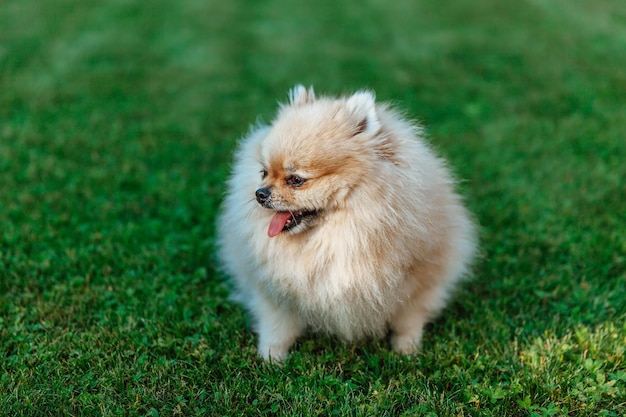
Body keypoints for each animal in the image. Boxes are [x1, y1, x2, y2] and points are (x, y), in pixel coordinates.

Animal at [217, 85, 476, 360]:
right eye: (263, 172)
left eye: (296, 180)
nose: (260, 193)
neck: (337, 236)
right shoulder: (273, 290)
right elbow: (276, 326)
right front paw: (270, 357)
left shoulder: (419, 281)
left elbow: (409, 320)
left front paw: (407, 351)